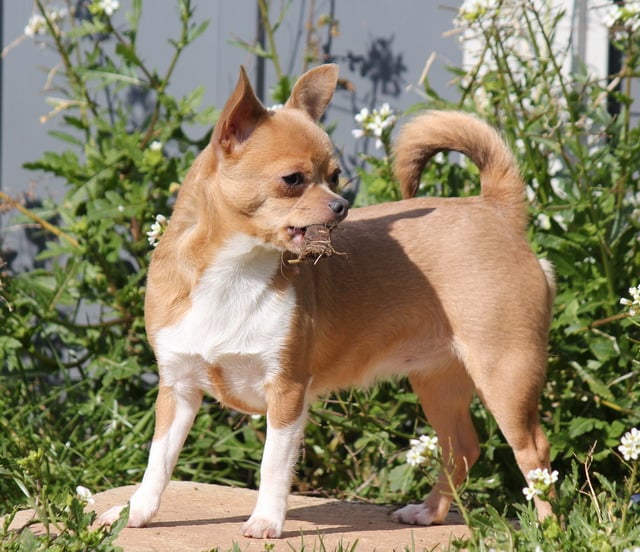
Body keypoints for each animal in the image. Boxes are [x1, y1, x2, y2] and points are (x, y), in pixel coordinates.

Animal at [98, 64, 555, 538]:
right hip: (438, 381)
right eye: (293, 180)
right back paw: (428, 512)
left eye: (335, 177)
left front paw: (266, 520)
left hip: (506, 374)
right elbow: (159, 462)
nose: (342, 206)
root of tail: (496, 209)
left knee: (534, 454)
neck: (235, 272)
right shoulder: (179, 389)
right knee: (462, 448)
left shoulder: (287, 392)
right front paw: (135, 512)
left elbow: (273, 465)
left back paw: (549, 527)